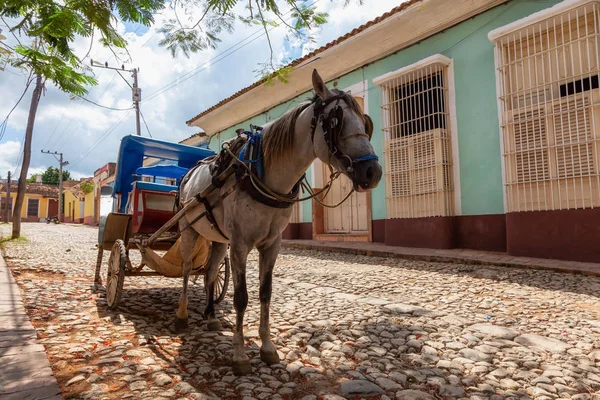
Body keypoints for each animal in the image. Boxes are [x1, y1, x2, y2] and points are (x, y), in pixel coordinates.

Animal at [176, 68, 382, 376]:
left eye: (365, 122)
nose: (373, 171)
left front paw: (267, 347)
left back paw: (211, 316)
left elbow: (265, 293)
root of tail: (190, 174)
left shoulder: (272, 244)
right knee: (188, 270)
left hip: (217, 239)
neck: (261, 172)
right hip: (189, 230)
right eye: (336, 121)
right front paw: (239, 355)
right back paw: (182, 314)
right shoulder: (240, 244)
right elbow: (241, 297)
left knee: (211, 272)